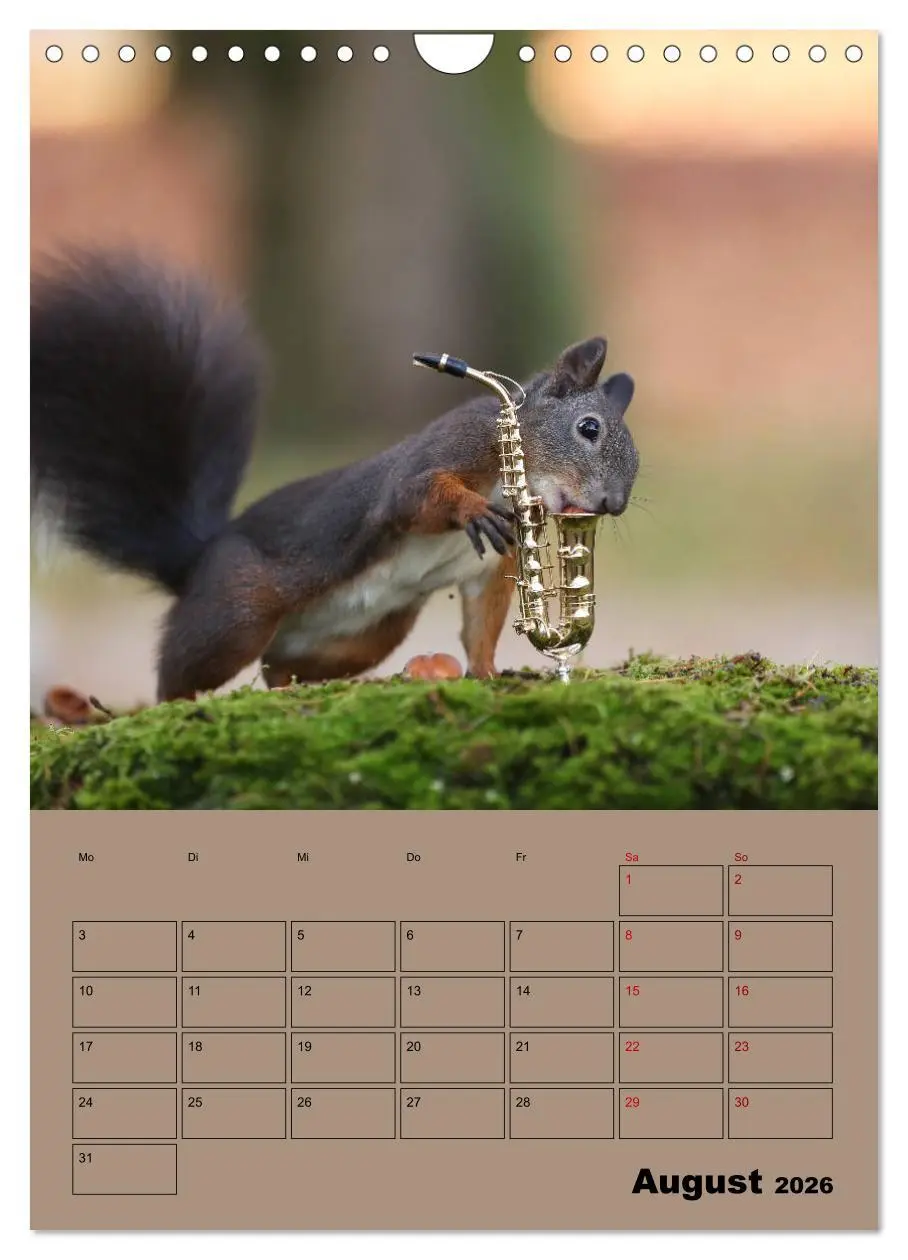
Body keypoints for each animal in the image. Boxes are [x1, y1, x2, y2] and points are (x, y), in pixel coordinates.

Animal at [31, 251, 640, 702]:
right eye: (588, 428)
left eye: (636, 460)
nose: (613, 505)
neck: (515, 477)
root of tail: (195, 561)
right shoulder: (448, 449)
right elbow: (414, 495)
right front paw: (471, 509)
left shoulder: (488, 572)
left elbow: (480, 627)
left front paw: (488, 675)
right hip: (235, 612)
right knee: (182, 669)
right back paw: (170, 707)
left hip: (364, 638)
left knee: (278, 667)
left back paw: (286, 691)